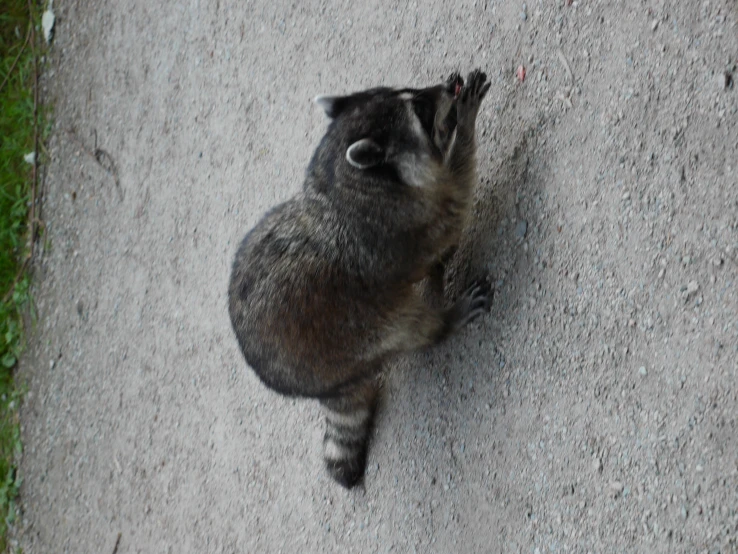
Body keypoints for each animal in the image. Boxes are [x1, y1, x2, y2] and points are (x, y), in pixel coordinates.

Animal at [227, 69, 492, 488]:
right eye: (421, 110)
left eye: (409, 90)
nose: (447, 89)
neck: (340, 182)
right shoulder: (409, 228)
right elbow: (455, 200)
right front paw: (464, 125)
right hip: (353, 339)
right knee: (406, 325)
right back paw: (443, 320)